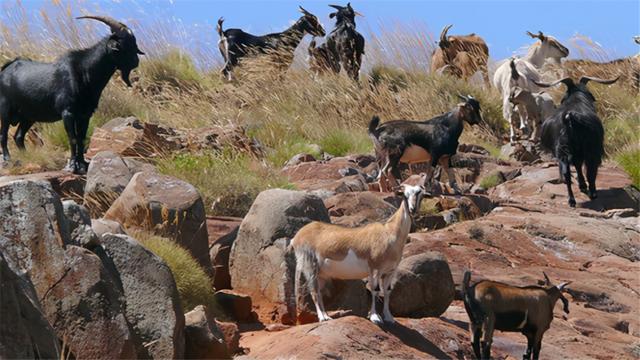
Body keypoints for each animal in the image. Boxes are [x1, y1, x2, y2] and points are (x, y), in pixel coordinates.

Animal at [0, 15, 142, 174]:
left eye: (134, 44)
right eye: (123, 45)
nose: (136, 62)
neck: (85, 72)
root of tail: (6, 69)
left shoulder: (85, 114)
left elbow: (81, 138)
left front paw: (83, 165)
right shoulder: (68, 112)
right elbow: (73, 138)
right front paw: (73, 166)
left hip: (28, 116)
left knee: (18, 136)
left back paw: (27, 157)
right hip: (5, 109)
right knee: (3, 135)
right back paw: (8, 159)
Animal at [292, 181, 428, 324]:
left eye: (420, 193)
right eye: (404, 195)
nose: (413, 209)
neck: (389, 233)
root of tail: (297, 237)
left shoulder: (390, 271)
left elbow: (387, 291)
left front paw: (389, 317)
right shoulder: (374, 268)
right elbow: (375, 290)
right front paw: (375, 317)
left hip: (321, 273)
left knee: (319, 291)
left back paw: (326, 316)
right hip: (309, 266)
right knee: (314, 291)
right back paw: (322, 318)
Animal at [536, 75, 620, 208]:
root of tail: (569, 117)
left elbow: (577, 167)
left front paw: (582, 186)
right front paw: (585, 187)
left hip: (563, 152)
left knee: (567, 174)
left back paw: (572, 200)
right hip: (591, 148)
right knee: (590, 170)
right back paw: (592, 194)